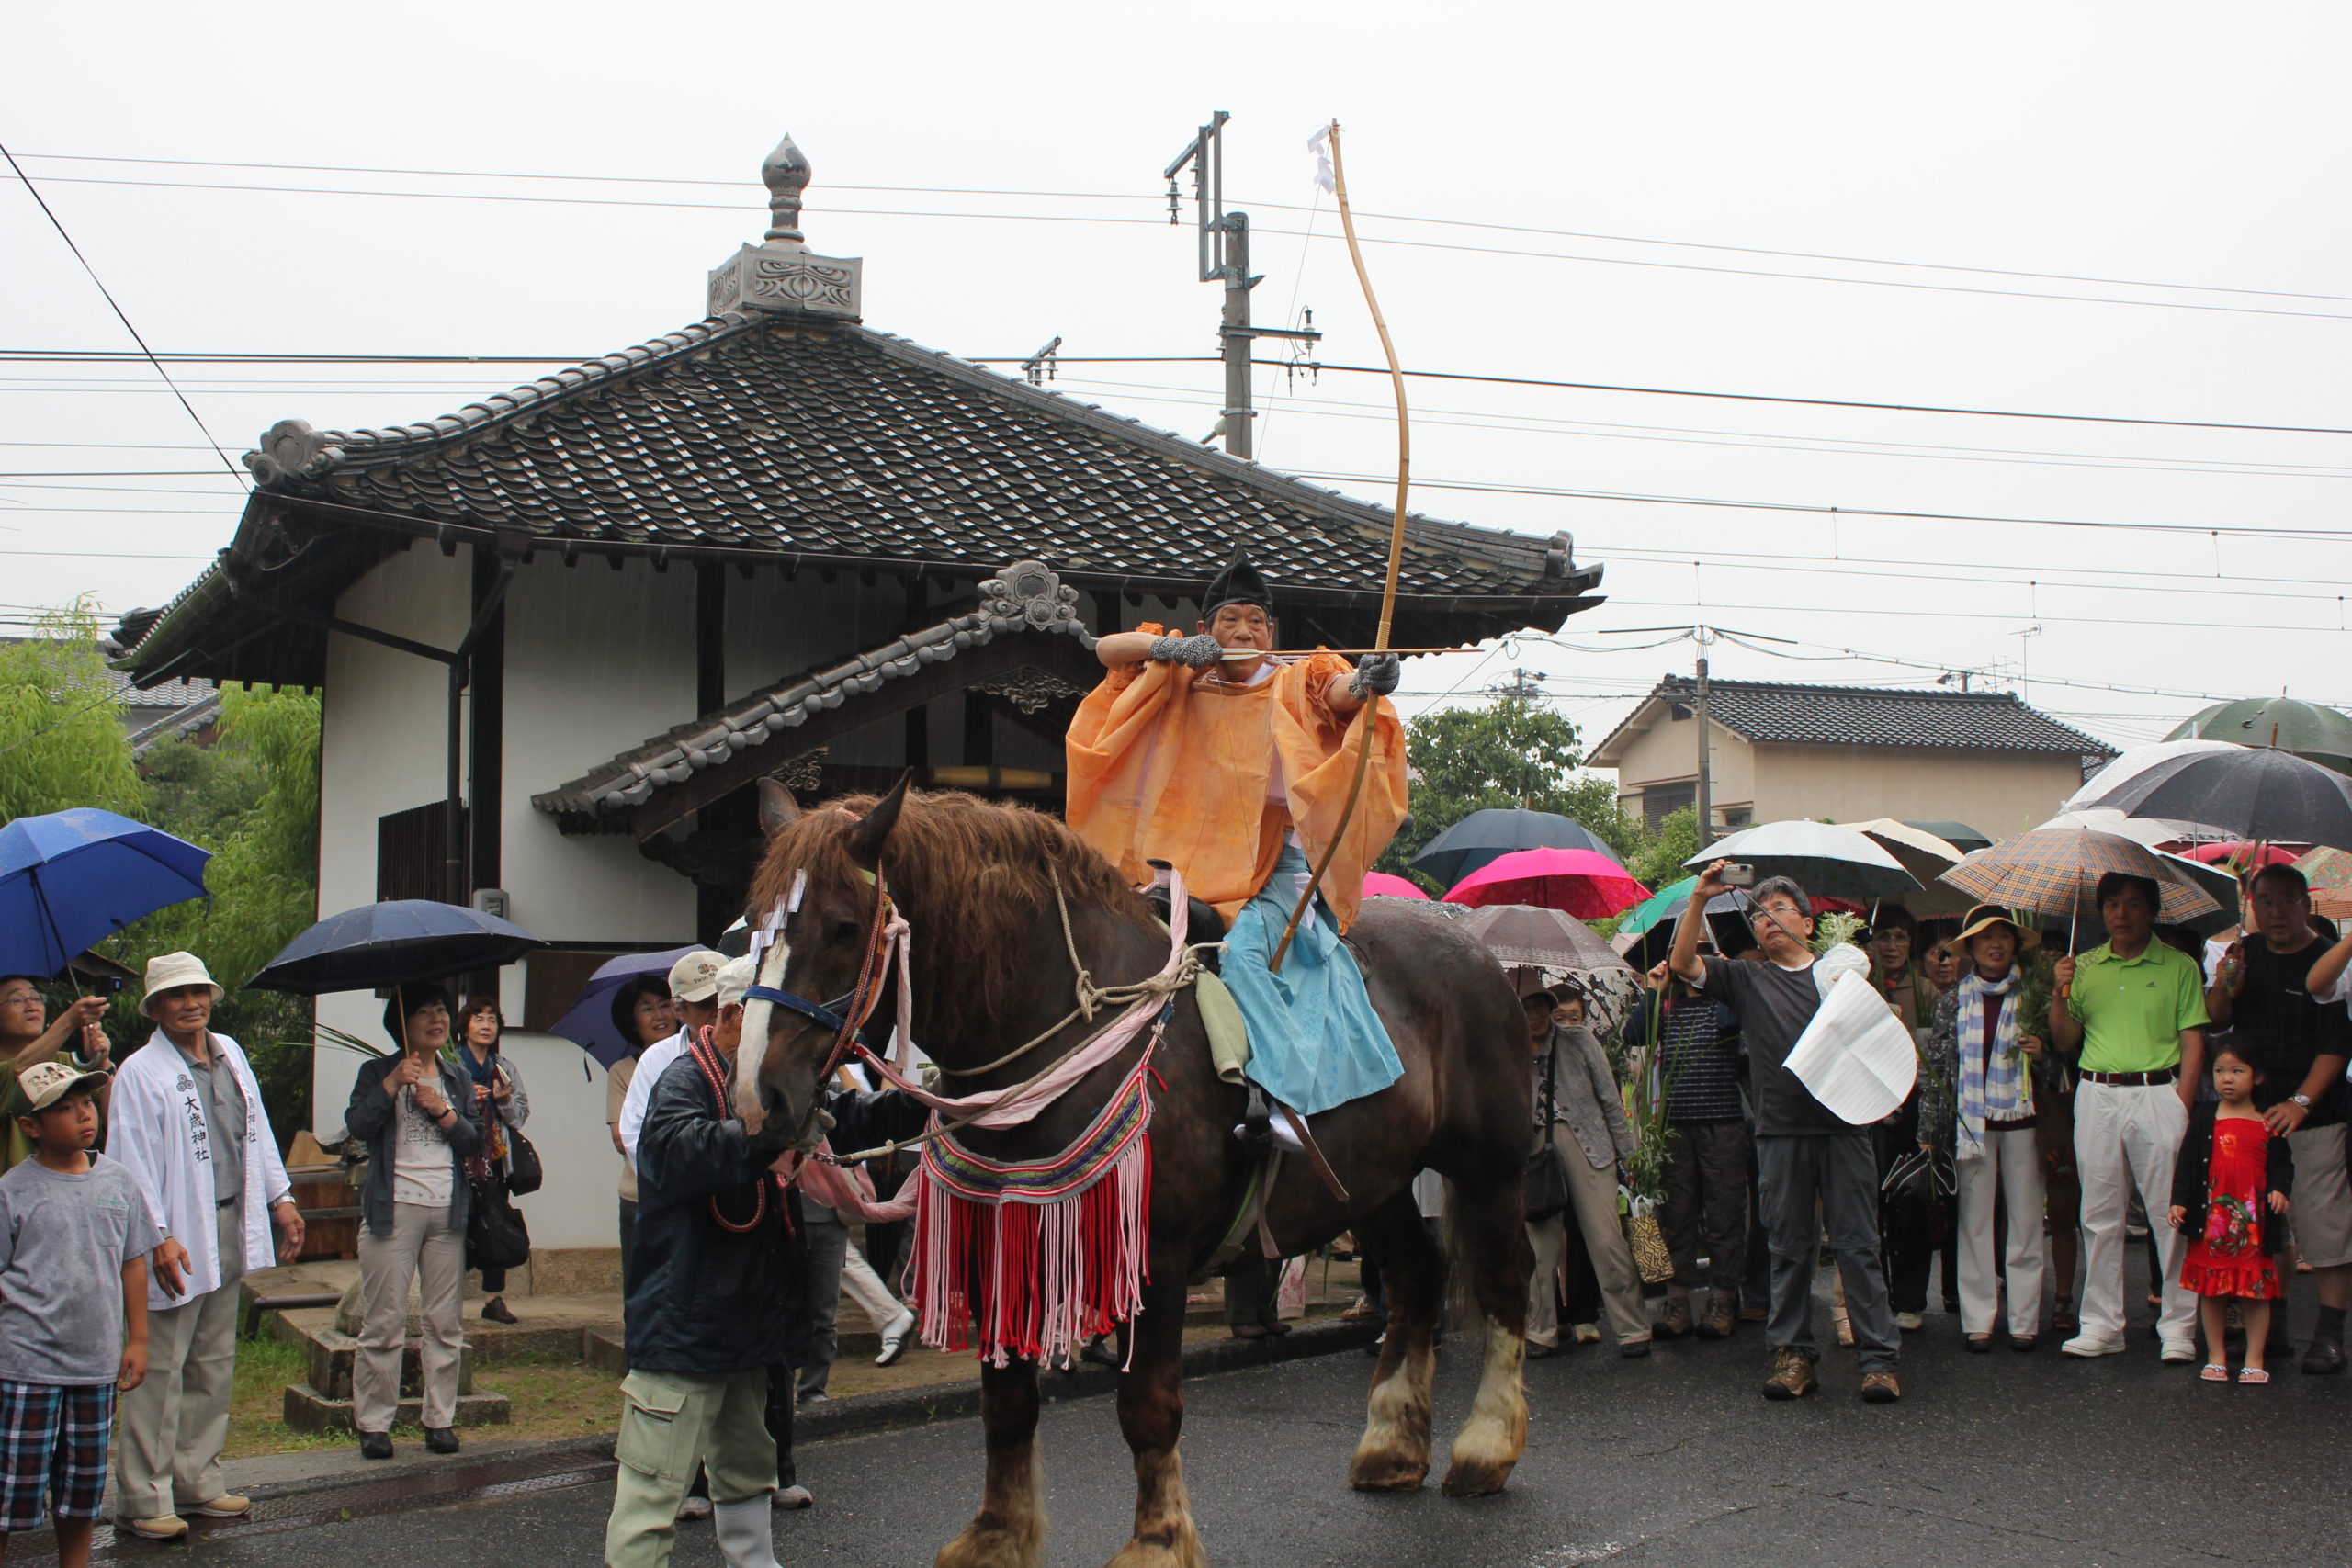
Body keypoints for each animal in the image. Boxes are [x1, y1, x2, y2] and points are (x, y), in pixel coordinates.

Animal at [738, 780, 1543, 1568]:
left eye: (843, 927)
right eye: (753, 930)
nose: (758, 1097)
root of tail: (1478, 951)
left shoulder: (1154, 1256)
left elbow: (1148, 1405)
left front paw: (1157, 1539)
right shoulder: (1006, 1240)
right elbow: (1006, 1403)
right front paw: (996, 1533)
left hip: (1490, 1163)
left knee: (1506, 1279)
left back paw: (1485, 1447)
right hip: (1376, 1179)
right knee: (1416, 1277)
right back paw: (1392, 1445)